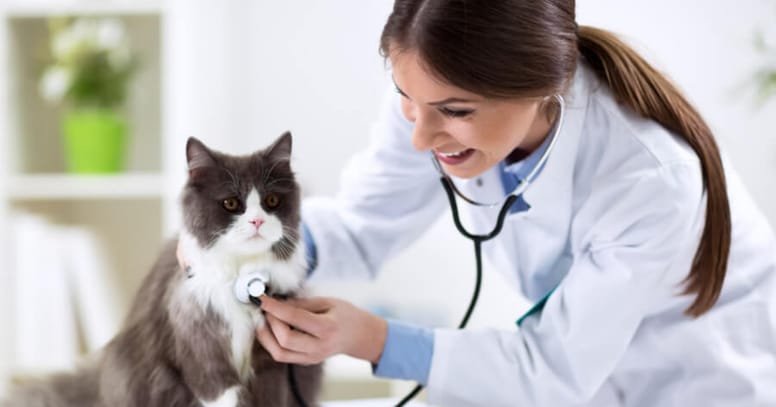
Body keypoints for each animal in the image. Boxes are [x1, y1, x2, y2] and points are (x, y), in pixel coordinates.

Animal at [1, 132, 322, 406]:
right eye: (231, 203)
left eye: (272, 201)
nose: (257, 221)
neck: (242, 276)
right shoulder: (202, 351)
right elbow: (222, 393)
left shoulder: (273, 364)